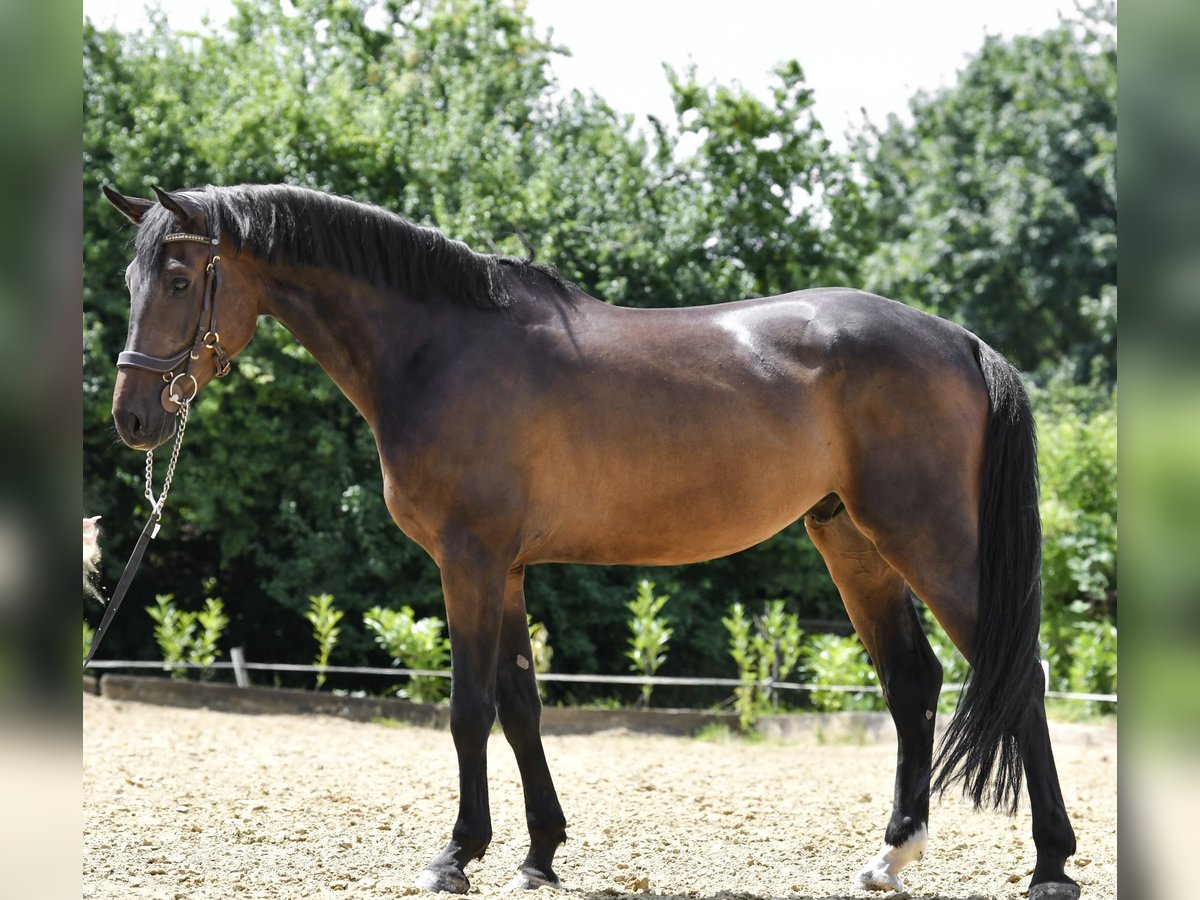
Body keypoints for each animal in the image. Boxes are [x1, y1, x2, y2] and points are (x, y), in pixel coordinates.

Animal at [100, 184, 1080, 900]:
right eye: (129, 283)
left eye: (180, 281)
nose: (135, 419)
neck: (440, 348)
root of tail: (959, 340)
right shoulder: (507, 568)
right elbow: (522, 706)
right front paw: (538, 854)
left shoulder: (469, 559)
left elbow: (467, 708)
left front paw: (454, 856)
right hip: (855, 541)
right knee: (913, 681)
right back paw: (890, 858)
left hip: (931, 540)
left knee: (1018, 676)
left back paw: (1051, 865)